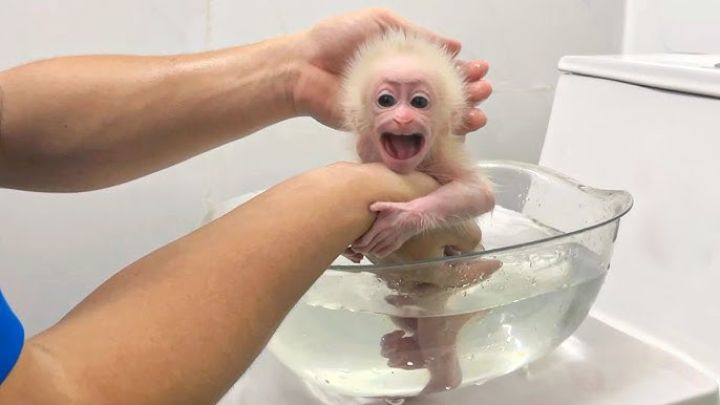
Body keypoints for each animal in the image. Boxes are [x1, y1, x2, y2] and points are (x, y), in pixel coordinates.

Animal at [338, 30, 500, 397]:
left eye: (419, 103)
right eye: (386, 100)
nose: (402, 119)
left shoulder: (444, 157)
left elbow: (479, 194)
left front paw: (404, 220)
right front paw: (351, 251)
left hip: (442, 290)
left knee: (435, 330)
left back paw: (439, 382)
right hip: (404, 298)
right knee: (403, 315)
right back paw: (409, 352)